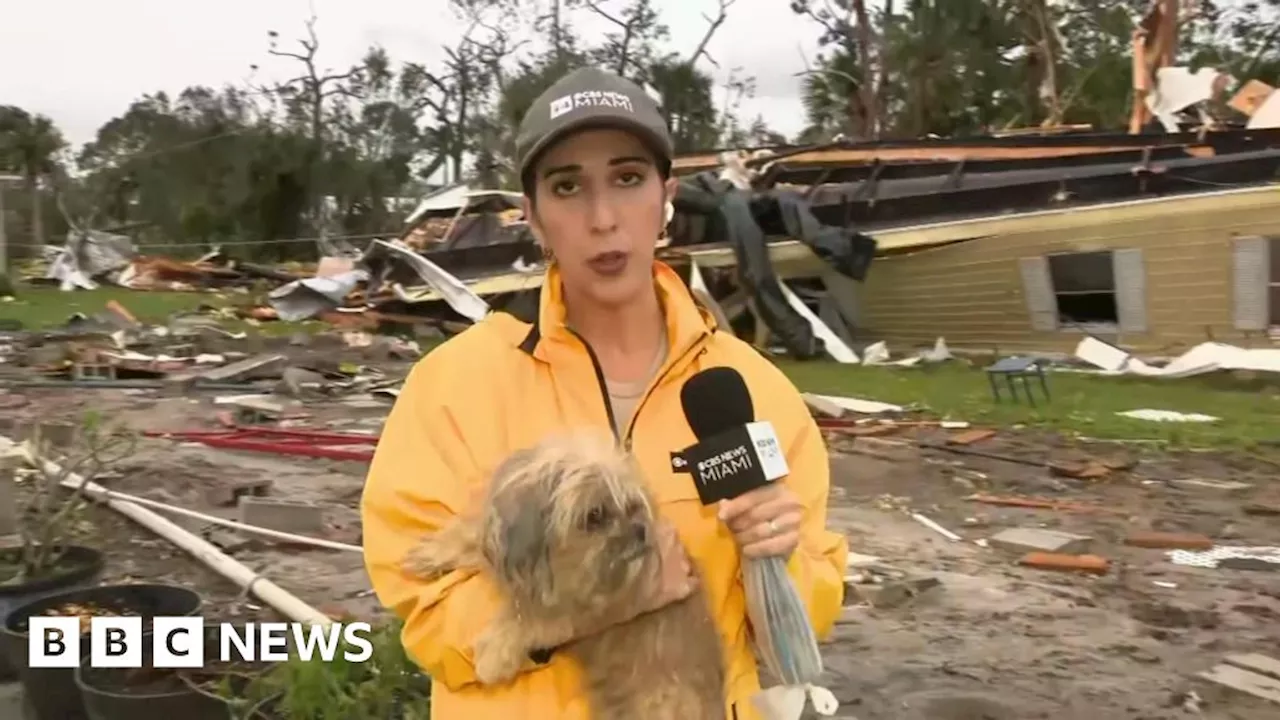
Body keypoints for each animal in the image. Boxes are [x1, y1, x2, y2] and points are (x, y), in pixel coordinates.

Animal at [404, 427, 727, 712]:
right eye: (594, 515)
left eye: (633, 506)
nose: (641, 530)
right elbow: (472, 535)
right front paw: (432, 552)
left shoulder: (585, 599)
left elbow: (528, 615)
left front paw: (494, 654)